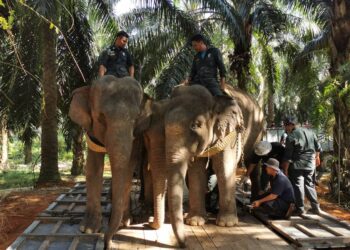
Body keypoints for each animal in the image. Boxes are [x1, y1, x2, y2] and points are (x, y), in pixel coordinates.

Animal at [68, 75, 146, 249]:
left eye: (136, 118)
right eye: (101, 117)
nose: (107, 243)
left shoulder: (136, 137)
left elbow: (128, 169)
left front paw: (125, 222)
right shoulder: (90, 133)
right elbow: (93, 168)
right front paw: (88, 229)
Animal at [134, 84, 262, 248]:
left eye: (196, 125)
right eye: (164, 129)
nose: (148, 224)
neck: (214, 100)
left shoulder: (230, 132)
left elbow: (224, 167)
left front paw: (227, 224)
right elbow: (197, 171)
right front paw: (195, 222)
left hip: (258, 130)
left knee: (254, 162)